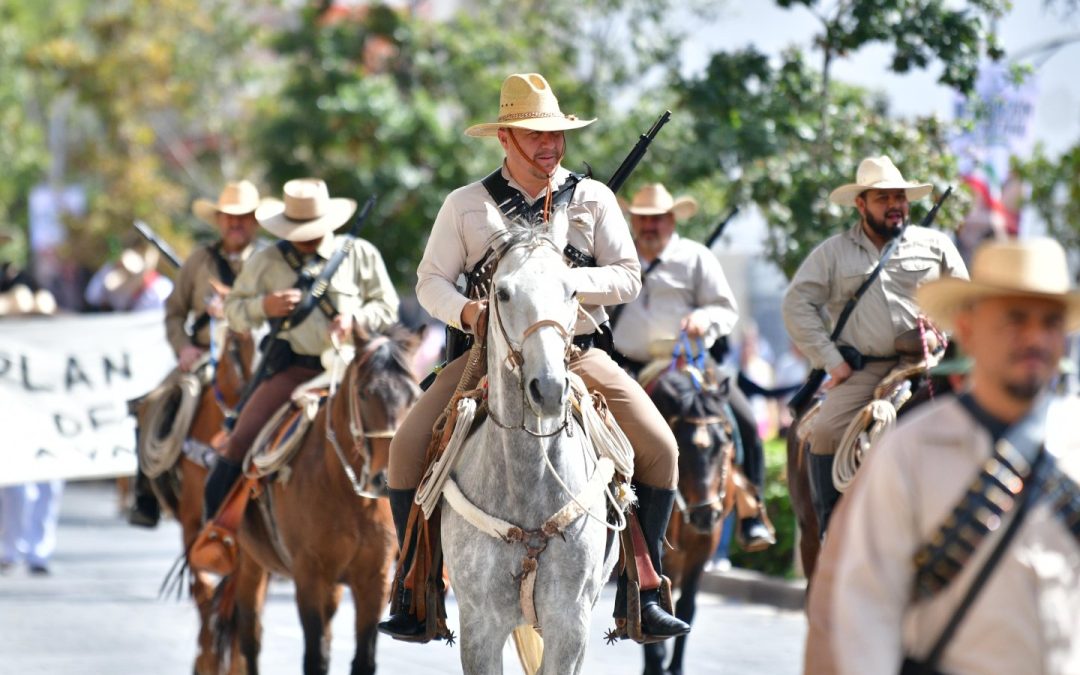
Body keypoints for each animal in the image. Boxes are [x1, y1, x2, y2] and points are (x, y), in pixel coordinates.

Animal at [218, 326, 416, 673]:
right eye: (364, 393)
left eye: (413, 396)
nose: (384, 478)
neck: (346, 491)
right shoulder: (309, 575)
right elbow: (315, 655)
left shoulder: (374, 579)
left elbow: (363, 659)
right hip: (249, 564)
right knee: (250, 637)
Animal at [639, 365, 734, 673]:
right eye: (681, 444)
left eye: (724, 442)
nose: (706, 513)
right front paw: (656, 661)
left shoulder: (704, 546)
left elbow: (687, 605)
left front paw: (675, 665)